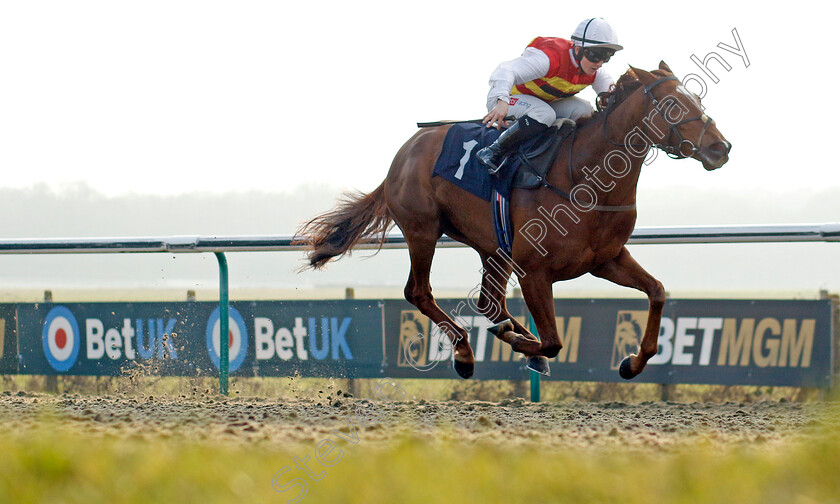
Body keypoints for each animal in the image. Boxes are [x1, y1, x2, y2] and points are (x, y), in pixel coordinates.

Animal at [300, 62, 728, 378]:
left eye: (696, 98)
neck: (583, 177)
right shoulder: (535, 270)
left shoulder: (605, 259)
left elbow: (657, 291)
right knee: (419, 293)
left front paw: (632, 363)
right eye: (673, 106)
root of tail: (405, 152)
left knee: (490, 304)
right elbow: (553, 340)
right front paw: (525, 344)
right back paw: (466, 353)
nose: (720, 147)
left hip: (492, 247)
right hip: (423, 231)